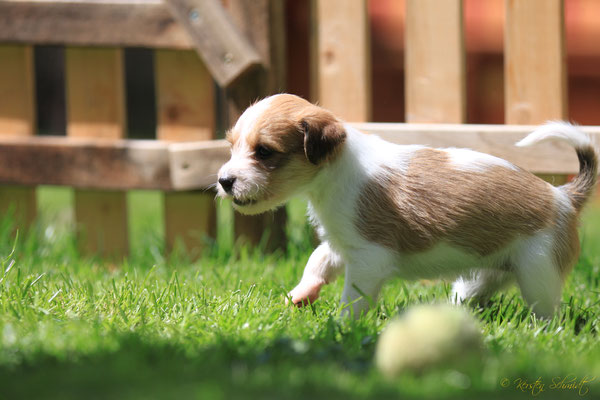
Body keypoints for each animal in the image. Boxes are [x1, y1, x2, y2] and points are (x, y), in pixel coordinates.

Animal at [218, 92, 596, 318]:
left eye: (264, 152)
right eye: (232, 146)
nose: (223, 181)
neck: (335, 171)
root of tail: (563, 195)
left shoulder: (369, 256)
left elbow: (353, 298)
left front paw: (341, 326)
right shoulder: (343, 243)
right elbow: (318, 260)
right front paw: (300, 293)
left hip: (538, 272)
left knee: (547, 313)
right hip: (482, 276)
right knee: (471, 293)